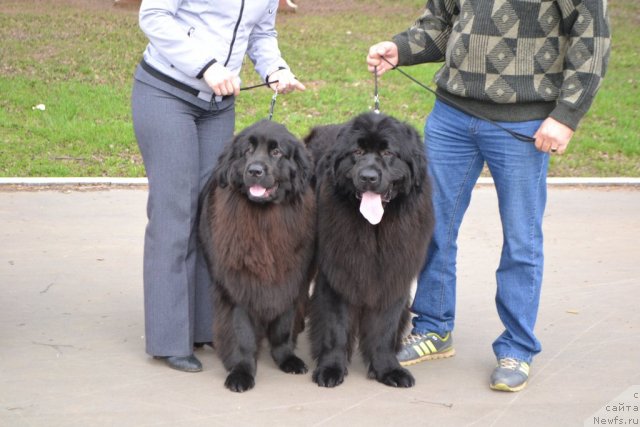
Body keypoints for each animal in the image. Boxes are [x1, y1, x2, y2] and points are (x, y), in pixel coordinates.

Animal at [196, 120, 314, 394]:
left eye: (277, 152)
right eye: (247, 151)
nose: (255, 170)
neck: (264, 221)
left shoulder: (289, 280)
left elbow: (283, 327)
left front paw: (287, 358)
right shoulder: (237, 286)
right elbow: (242, 335)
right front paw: (241, 372)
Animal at [304, 112, 436, 390]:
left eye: (388, 153)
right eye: (357, 151)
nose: (368, 177)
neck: (374, 228)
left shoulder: (393, 275)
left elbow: (385, 329)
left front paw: (388, 369)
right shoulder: (336, 274)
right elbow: (335, 326)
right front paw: (330, 368)